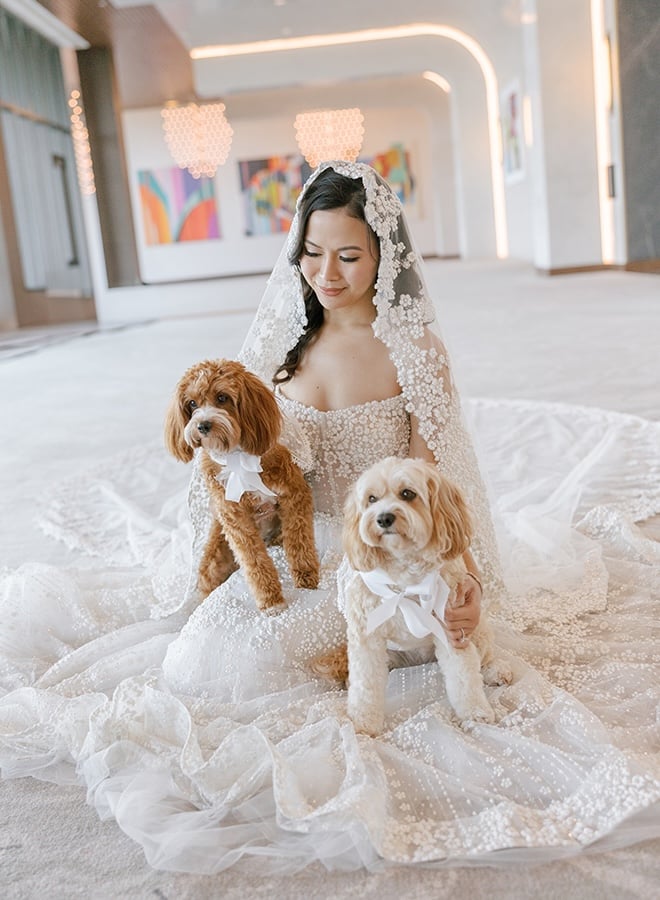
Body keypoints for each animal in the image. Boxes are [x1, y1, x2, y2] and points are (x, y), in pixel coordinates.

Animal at [165, 358, 320, 612]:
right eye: (192, 403)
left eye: (222, 397)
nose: (203, 425)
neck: (236, 457)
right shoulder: (234, 517)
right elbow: (254, 561)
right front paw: (271, 600)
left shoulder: (294, 494)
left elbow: (299, 541)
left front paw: (307, 578)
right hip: (215, 555)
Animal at [340, 458, 510, 740]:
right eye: (371, 499)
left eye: (408, 494)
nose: (383, 518)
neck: (405, 582)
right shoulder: (367, 637)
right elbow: (365, 685)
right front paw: (363, 723)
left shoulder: (452, 630)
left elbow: (464, 678)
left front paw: (475, 713)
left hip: (477, 628)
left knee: (484, 657)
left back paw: (495, 669)